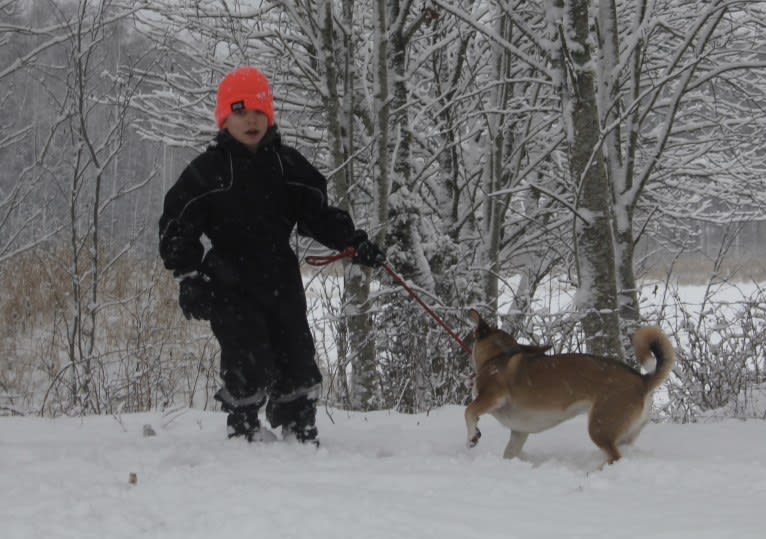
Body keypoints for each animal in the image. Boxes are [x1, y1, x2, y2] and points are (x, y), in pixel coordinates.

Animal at [464, 310, 676, 466]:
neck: (498, 356)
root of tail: (643, 380)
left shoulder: (492, 396)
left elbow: (469, 411)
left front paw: (472, 437)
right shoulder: (519, 432)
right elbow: (510, 452)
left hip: (600, 427)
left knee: (615, 457)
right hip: (624, 434)